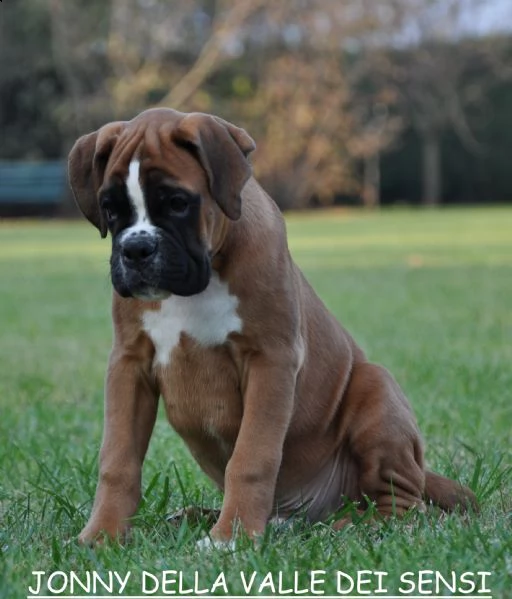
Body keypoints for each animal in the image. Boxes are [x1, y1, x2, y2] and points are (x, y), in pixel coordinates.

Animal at [68, 106, 476, 544]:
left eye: (178, 203)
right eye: (110, 209)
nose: (136, 248)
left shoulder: (271, 361)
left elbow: (251, 457)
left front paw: (230, 537)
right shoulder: (129, 365)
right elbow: (118, 460)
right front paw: (102, 534)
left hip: (378, 390)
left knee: (404, 505)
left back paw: (346, 527)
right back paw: (197, 516)